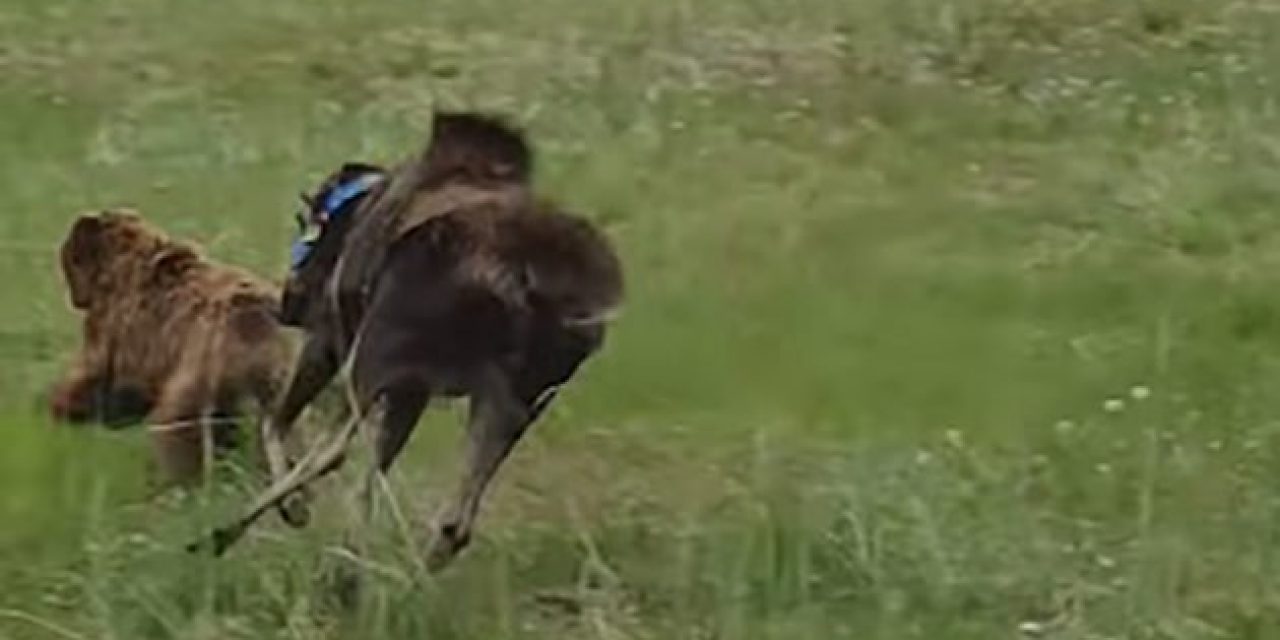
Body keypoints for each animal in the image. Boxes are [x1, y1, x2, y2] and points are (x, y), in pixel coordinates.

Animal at [51, 209, 293, 483]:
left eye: (68, 260)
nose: (75, 298)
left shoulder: (122, 327)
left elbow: (100, 377)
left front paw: (60, 406)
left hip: (205, 369)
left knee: (178, 427)